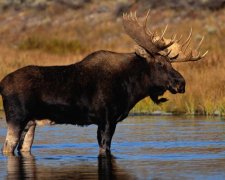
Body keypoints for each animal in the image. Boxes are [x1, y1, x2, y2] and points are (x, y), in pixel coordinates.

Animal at [0, 11, 207, 154]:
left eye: (171, 63)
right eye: (160, 63)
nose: (181, 83)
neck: (131, 88)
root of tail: (1, 84)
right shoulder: (107, 119)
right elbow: (105, 148)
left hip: (31, 123)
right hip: (16, 117)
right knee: (7, 147)